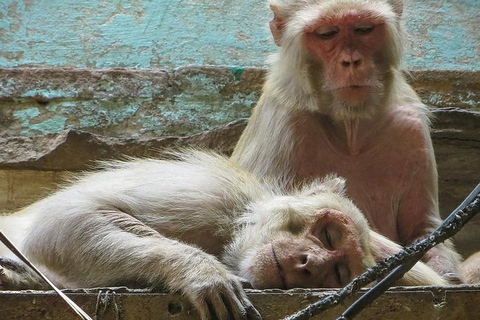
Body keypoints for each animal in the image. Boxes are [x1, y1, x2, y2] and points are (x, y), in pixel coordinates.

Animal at [0, 150, 446, 320]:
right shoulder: (210, 198)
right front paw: (202, 272)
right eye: (329, 236)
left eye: (337, 272)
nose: (309, 263)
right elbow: (64, 222)